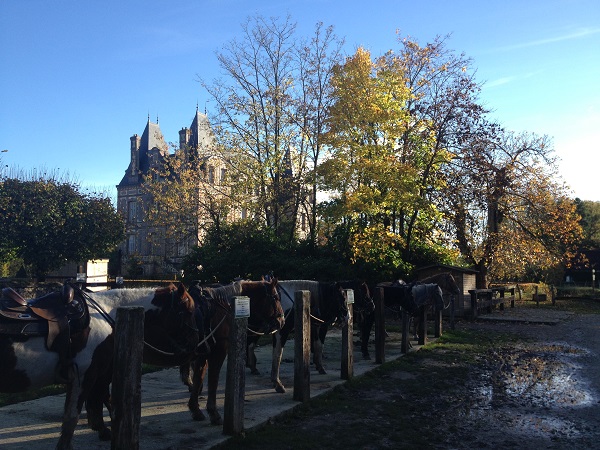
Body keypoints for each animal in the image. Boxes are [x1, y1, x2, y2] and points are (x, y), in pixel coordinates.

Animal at [184, 280, 284, 424]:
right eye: (276, 298)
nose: (282, 320)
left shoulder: (203, 355)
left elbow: (199, 378)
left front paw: (196, 410)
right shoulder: (218, 352)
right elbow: (213, 380)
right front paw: (213, 413)